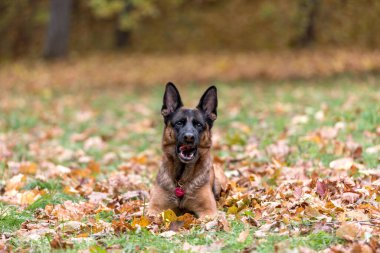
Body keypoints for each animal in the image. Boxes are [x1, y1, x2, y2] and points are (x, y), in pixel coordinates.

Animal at [148, 83, 226, 217]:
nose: (189, 137)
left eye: (199, 124)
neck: (181, 179)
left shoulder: (208, 211)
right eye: (179, 123)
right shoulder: (154, 209)